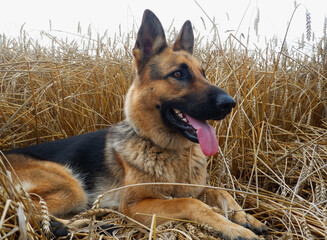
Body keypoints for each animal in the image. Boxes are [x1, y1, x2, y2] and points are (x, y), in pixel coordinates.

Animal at [3, 9, 266, 240]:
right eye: (178, 74)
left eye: (203, 73)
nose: (230, 103)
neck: (168, 151)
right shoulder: (135, 206)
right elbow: (191, 203)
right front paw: (235, 229)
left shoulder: (194, 188)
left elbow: (219, 191)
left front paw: (246, 219)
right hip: (71, 186)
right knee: (29, 209)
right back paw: (73, 226)